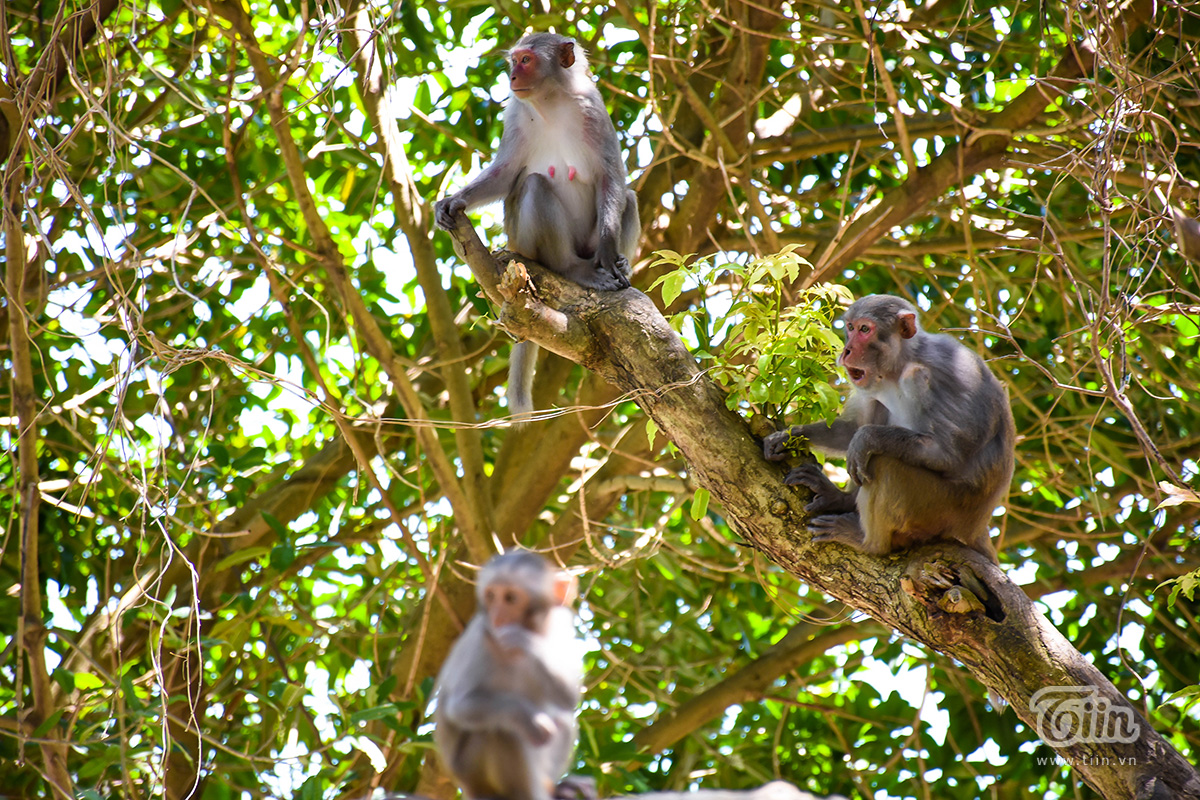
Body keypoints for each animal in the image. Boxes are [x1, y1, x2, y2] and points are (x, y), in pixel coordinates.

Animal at [432, 554, 585, 800]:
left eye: (510, 598)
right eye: (491, 596)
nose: (497, 617)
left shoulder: (560, 621)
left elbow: (569, 697)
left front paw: (523, 640)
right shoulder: (480, 638)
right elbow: (460, 707)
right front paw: (528, 718)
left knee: (563, 719)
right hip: (470, 771)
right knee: (501, 729)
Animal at [436, 31, 643, 419]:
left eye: (526, 60)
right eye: (513, 60)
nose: (512, 76)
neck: (551, 102)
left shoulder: (593, 108)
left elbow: (611, 178)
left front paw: (612, 257)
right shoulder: (515, 114)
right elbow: (506, 175)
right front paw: (453, 202)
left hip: (586, 242)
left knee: (630, 197)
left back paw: (616, 265)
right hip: (523, 242)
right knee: (535, 185)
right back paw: (572, 269)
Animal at [758, 293, 1012, 563]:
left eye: (865, 329)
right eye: (851, 328)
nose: (846, 350)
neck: (899, 365)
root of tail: (976, 527)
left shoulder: (950, 373)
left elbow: (949, 455)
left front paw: (866, 438)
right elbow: (851, 429)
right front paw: (788, 436)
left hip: (940, 510)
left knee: (883, 464)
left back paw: (868, 542)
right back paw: (841, 499)